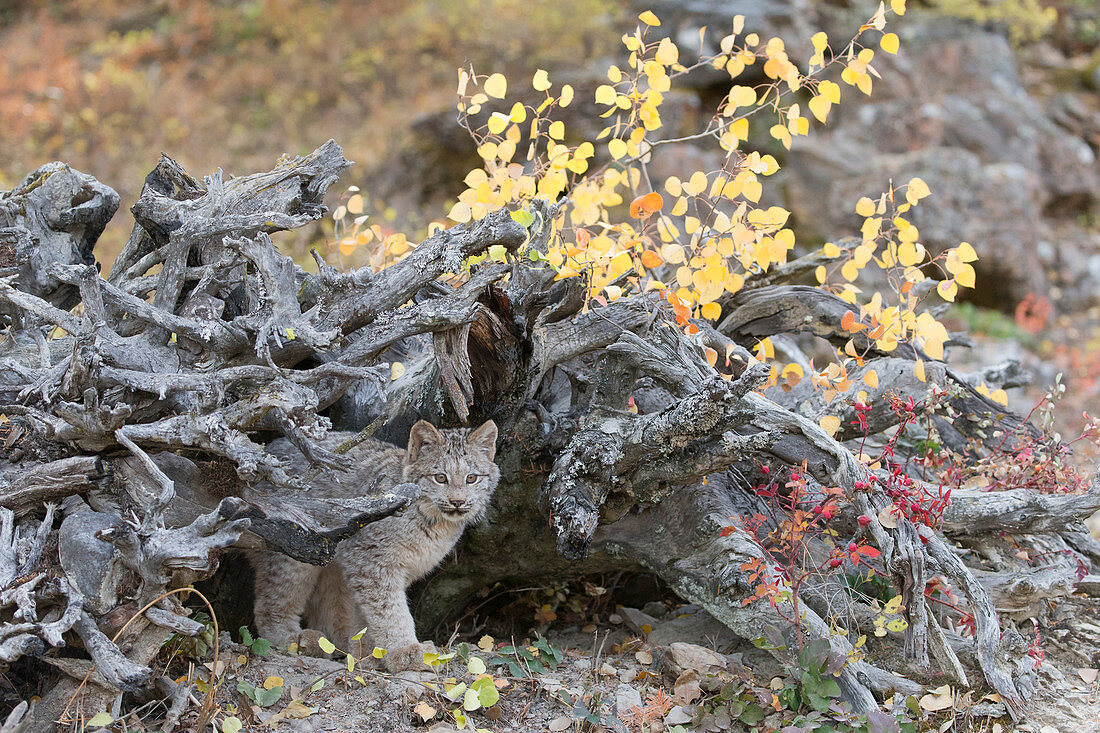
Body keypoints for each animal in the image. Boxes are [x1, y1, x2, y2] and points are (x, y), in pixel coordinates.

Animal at [249, 422, 499, 669]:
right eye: (440, 477)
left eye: (471, 478)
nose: (457, 502)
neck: (435, 521)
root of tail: (270, 447)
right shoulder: (372, 562)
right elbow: (390, 611)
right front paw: (406, 652)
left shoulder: (379, 565)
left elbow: (369, 612)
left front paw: (367, 652)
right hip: (294, 548)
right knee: (270, 601)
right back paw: (294, 640)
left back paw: (335, 643)